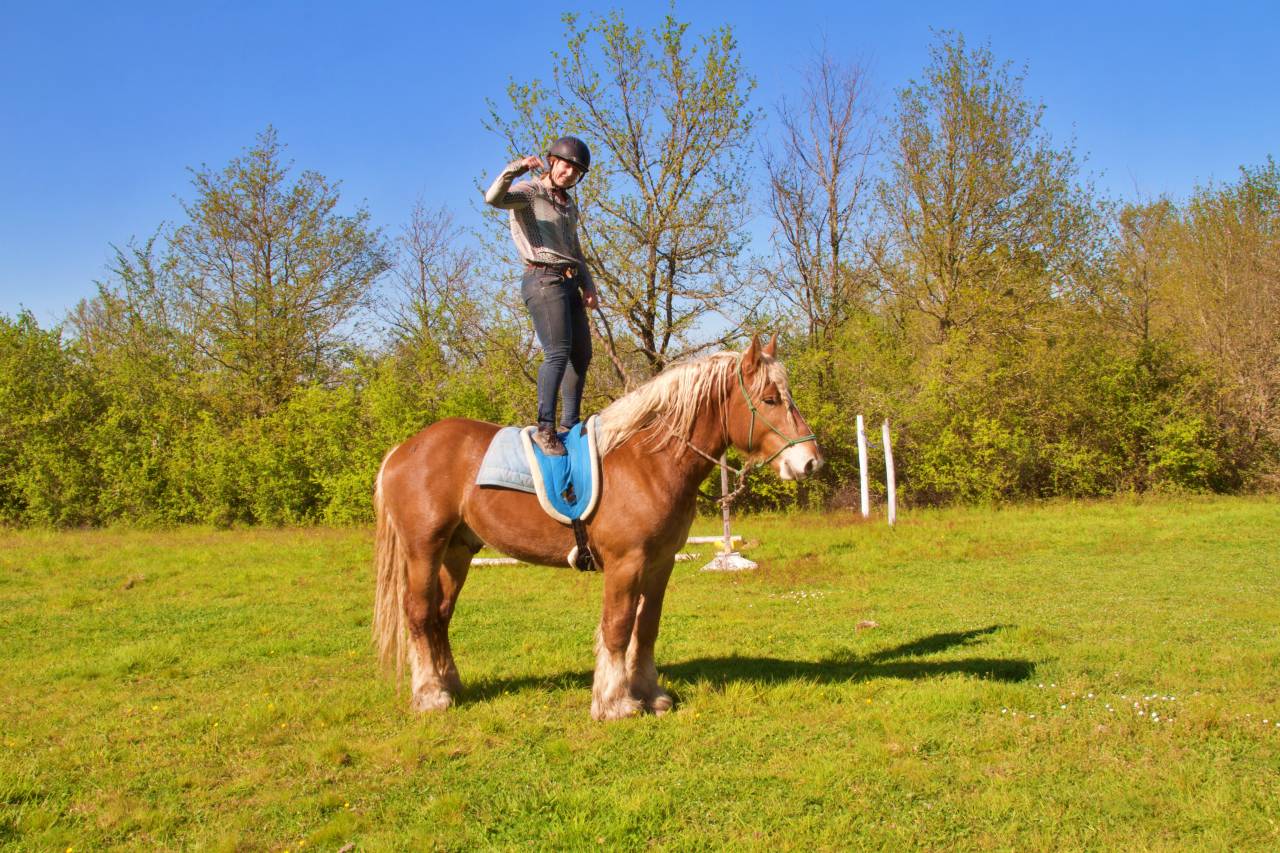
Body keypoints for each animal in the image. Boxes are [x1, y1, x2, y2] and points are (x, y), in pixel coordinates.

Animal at [372, 335, 824, 720]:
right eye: (770, 399)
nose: (810, 462)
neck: (648, 460)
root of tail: (403, 450)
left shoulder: (660, 564)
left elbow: (647, 627)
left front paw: (650, 694)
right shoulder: (625, 563)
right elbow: (617, 627)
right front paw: (615, 703)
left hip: (457, 552)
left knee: (439, 616)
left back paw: (451, 686)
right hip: (424, 549)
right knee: (418, 614)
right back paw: (430, 695)